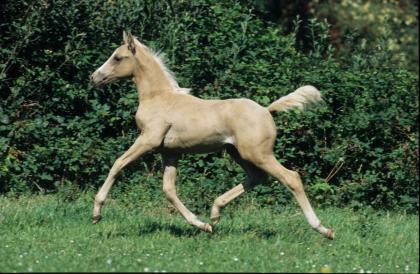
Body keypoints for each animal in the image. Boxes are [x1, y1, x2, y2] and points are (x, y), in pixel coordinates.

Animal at [89, 31, 334, 239]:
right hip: (238, 153)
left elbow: (118, 164)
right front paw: (202, 225)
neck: (159, 97)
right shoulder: (170, 152)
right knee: (256, 178)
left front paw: (96, 213)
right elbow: (169, 190)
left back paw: (323, 229)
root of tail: (267, 110)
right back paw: (215, 214)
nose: (94, 77)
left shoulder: (148, 140)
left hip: (258, 154)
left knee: (291, 178)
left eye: (117, 58)